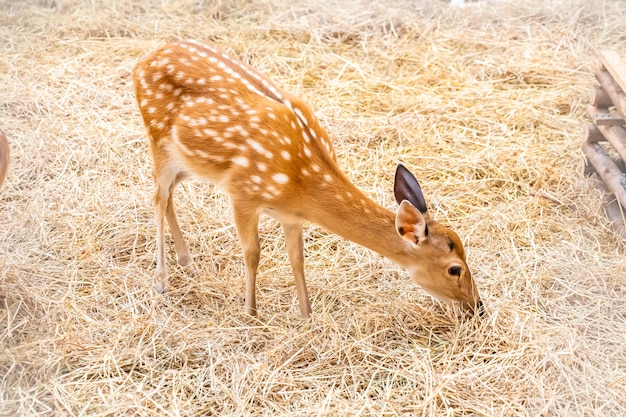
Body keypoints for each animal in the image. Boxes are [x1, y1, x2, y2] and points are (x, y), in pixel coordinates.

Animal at [132, 40, 482, 316]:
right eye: (455, 268)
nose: (477, 307)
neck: (302, 184)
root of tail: (141, 62)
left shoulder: (290, 215)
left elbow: (297, 258)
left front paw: (306, 314)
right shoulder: (243, 191)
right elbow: (253, 253)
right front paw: (250, 313)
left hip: (187, 162)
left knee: (169, 195)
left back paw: (187, 262)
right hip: (157, 138)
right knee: (157, 197)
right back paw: (162, 282)